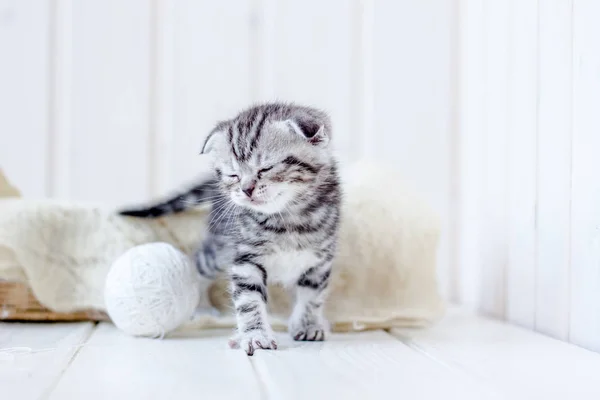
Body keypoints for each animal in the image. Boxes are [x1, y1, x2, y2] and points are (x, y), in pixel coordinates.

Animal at [119, 103, 340, 356]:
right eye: (233, 175)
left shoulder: (319, 262)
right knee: (198, 263)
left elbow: (312, 296)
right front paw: (255, 335)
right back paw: (202, 308)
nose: (246, 189)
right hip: (217, 249)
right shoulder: (245, 258)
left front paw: (308, 324)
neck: (288, 218)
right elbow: (249, 301)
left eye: (265, 168)